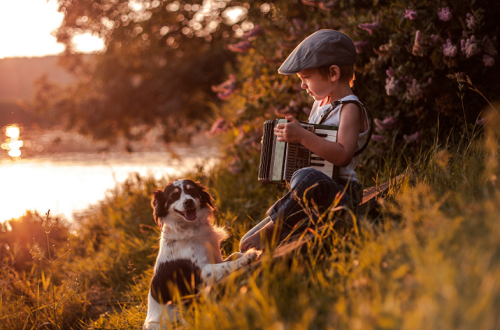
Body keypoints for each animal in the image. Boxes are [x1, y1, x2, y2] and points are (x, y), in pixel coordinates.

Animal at [144, 179, 254, 328]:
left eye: (192, 191)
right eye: (174, 196)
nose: (188, 201)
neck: (191, 228)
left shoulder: (216, 258)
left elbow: (233, 255)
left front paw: (247, 252)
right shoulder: (201, 271)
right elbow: (227, 265)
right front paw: (247, 257)